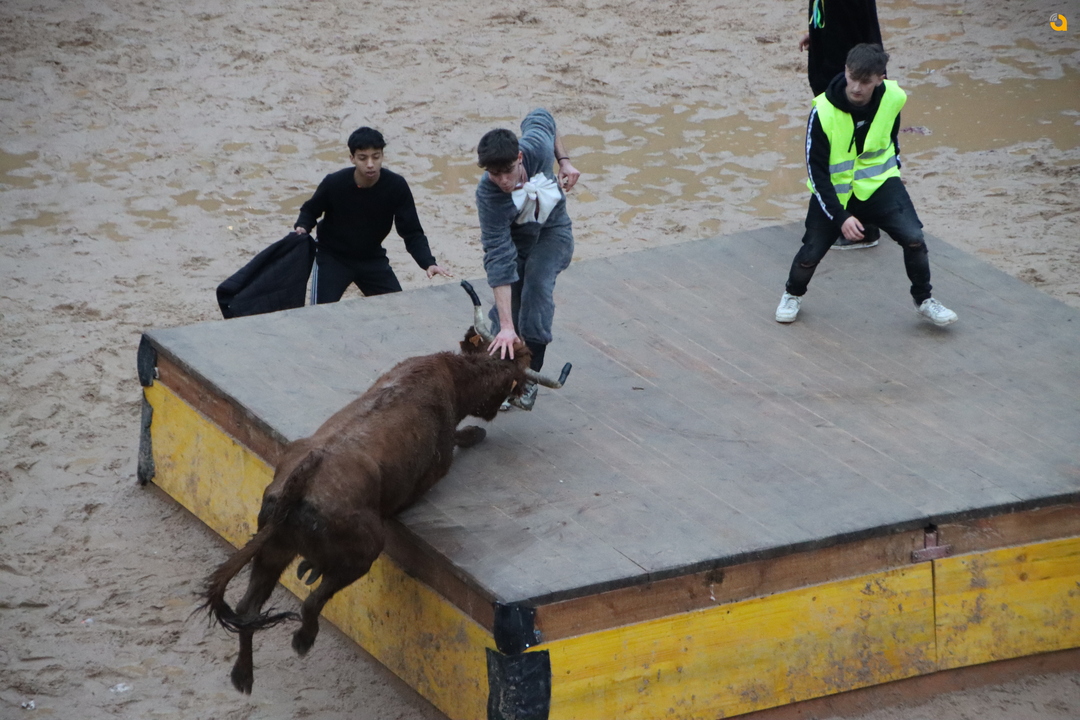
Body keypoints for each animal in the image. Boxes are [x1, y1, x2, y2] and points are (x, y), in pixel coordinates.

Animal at [200, 282, 570, 693]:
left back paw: (243, 676)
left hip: (273, 549)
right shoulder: (437, 464)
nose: (511, 401)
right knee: (311, 602)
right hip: (365, 549)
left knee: (248, 610)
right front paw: (475, 432)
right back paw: (302, 640)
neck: (450, 377)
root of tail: (301, 484)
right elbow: (457, 443)